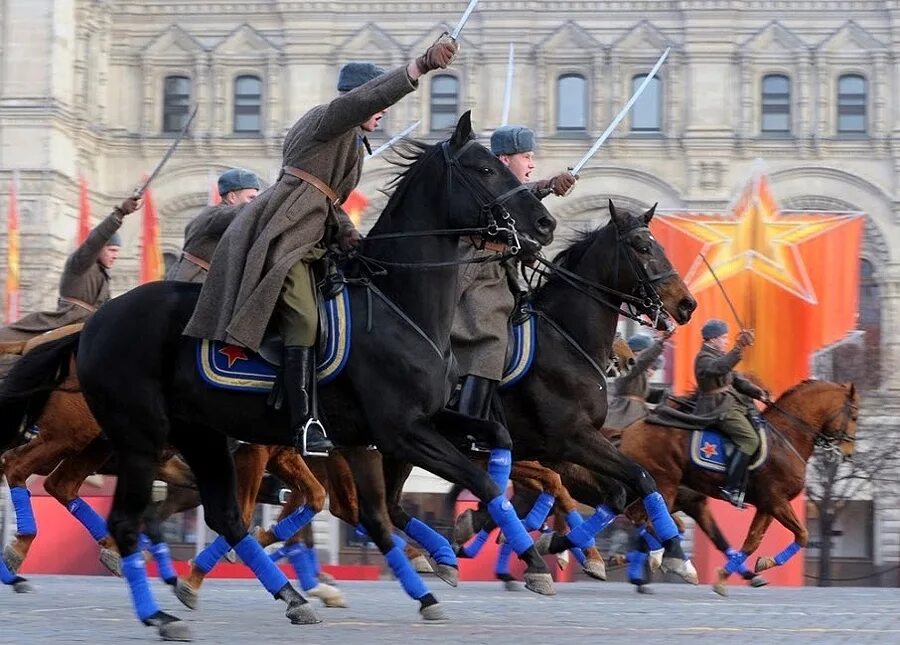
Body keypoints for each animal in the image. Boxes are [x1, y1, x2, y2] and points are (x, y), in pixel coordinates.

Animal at [67, 113, 556, 640]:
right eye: (485, 169)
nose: (545, 223)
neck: (399, 302)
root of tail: (97, 320)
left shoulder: (393, 432)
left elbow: (468, 462)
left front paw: (449, 568)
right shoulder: (401, 431)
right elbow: (480, 484)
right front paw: (514, 555)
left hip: (200, 435)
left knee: (226, 515)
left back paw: (289, 596)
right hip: (141, 438)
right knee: (127, 521)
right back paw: (161, 614)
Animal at [620, 378, 856, 592]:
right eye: (854, 416)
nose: (849, 453)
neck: (786, 438)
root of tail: (631, 429)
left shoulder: (768, 505)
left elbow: (752, 542)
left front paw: (737, 572)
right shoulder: (777, 501)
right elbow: (803, 535)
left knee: (638, 517)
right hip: (665, 485)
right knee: (652, 522)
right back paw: (667, 563)